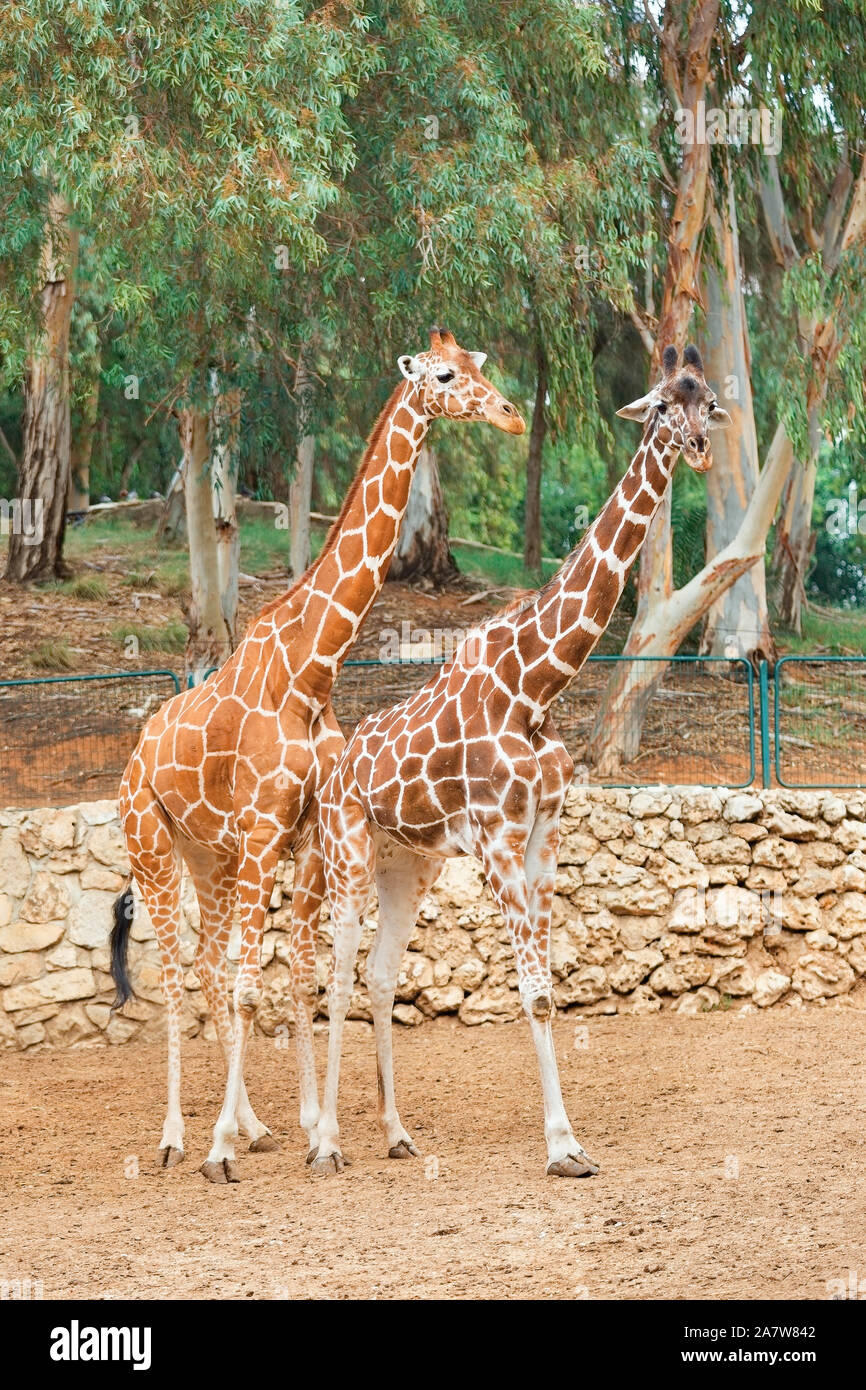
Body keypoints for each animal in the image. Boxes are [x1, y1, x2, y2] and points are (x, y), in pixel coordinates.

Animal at [111, 328, 525, 1184]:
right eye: (444, 375)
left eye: (480, 364)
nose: (510, 415)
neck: (314, 669)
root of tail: (135, 755)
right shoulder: (267, 830)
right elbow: (252, 984)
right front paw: (223, 1150)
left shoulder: (300, 837)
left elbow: (294, 974)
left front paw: (309, 1129)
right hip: (153, 847)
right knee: (177, 972)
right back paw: (177, 1138)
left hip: (210, 856)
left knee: (210, 964)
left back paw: (253, 1124)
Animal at [312, 344, 733, 1173]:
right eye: (660, 405)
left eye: (705, 403)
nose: (700, 449)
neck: (536, 682)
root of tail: (338, 765)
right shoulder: (500, 842)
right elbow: (532, 990)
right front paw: (562, 1144)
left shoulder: (544, 835)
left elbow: (546, 991)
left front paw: (570, 1141)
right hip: (346, 849)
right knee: (336, 974)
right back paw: (328, 1143)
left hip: (406, 860)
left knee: (379, 975)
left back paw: (397, 1134)